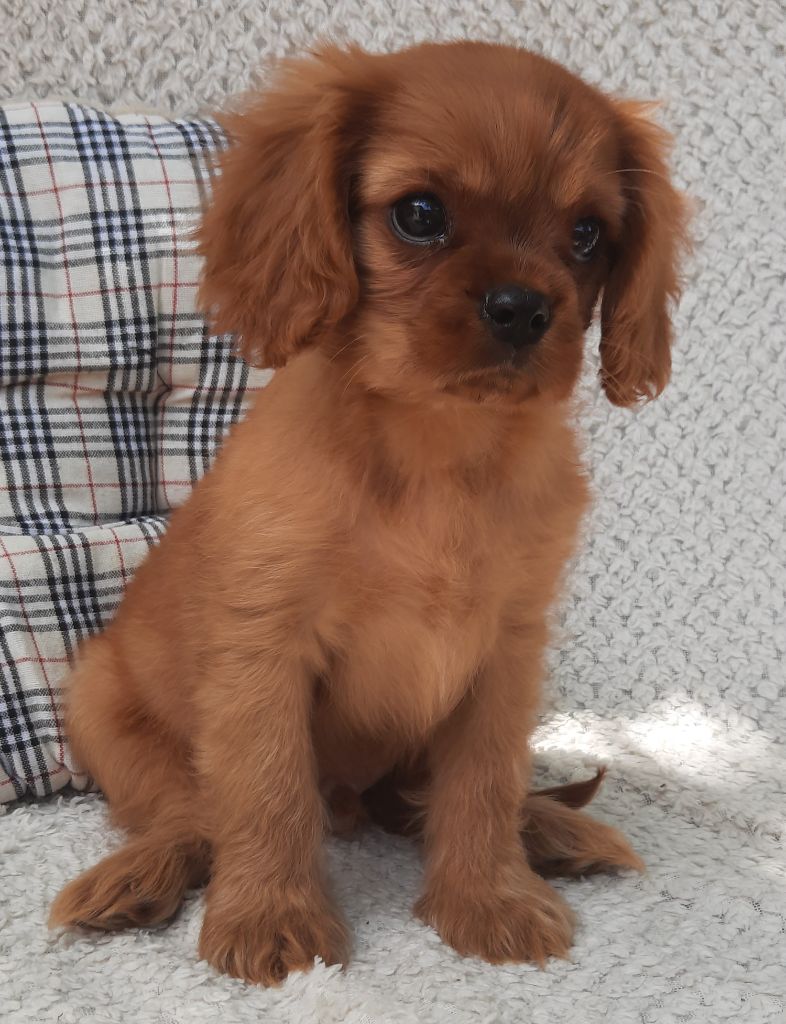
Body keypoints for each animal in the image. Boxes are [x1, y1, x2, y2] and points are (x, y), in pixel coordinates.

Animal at [49, 41, 687, 985]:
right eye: (419, 215)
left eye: (586, 234)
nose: (523, 308)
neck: (439, 447)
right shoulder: (265, 651)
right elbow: (267, 791)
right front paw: (272, 918)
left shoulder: (507, 653)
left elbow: (484, 783)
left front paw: (489, 898)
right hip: (101, 704)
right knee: (189, 814)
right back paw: (136, 877)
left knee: (424, 797)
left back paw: (550, 828)